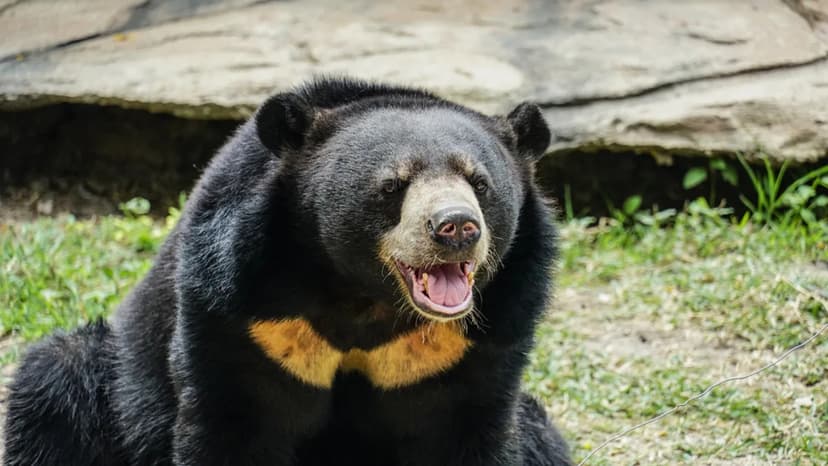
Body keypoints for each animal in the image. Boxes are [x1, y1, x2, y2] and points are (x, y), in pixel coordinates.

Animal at [3, 77, 571, 466]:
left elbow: (463, 427)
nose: (456, 227)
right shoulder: (241, 309)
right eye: (392, 186)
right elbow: (232, 421)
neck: (363, 296)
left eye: (480, 184)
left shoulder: (472, 342)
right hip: (109, 383)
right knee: (53, 387)